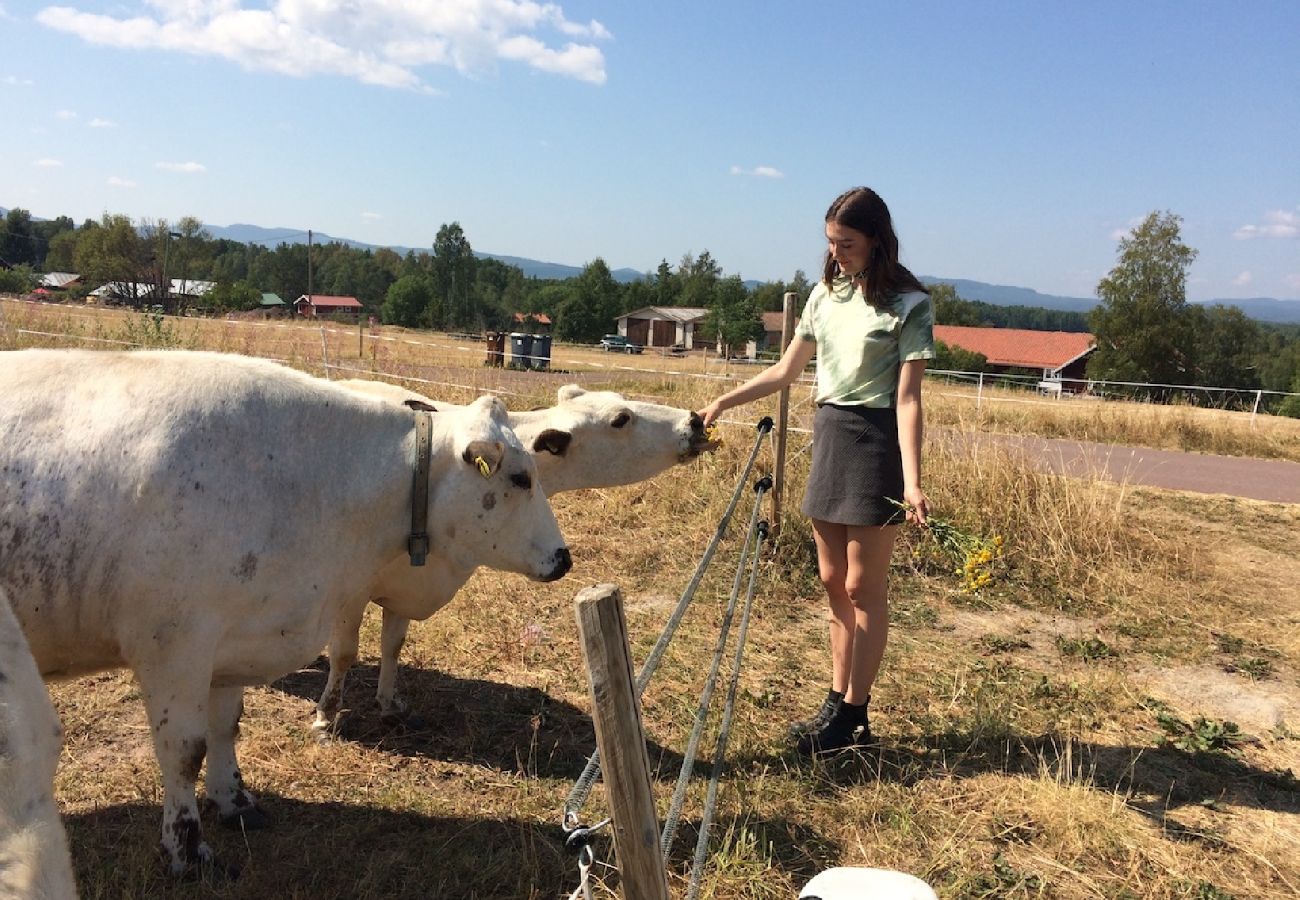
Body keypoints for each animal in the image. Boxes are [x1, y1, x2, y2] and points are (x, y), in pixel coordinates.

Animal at [0, 348, 569, 873]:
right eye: (520, 478)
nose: (563, 558)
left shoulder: (233, 640)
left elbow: (224, 728)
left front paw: (234, 801)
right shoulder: (174, 646)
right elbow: (184, 750)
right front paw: (186, 846)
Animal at [317, 379, 722, 733]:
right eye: (620, 419)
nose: (694, 419)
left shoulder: (408, 585)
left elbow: (392, 646)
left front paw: (388, 704)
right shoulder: (350, 590)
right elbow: (344, 652)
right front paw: (326, 714)